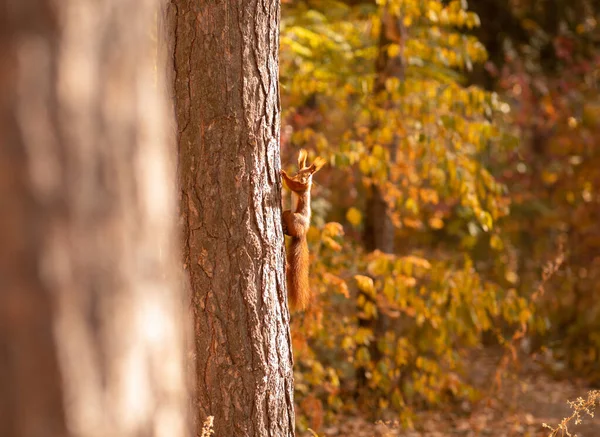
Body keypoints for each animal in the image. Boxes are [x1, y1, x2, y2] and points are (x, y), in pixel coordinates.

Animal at [280, 149, 326, 310]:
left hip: (295, 217)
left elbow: (292, 185)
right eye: (299, 171)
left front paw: (282, 173)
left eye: (310, 174)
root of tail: (303, 233)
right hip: (287, 213)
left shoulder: (301, 188)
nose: (303, 179)